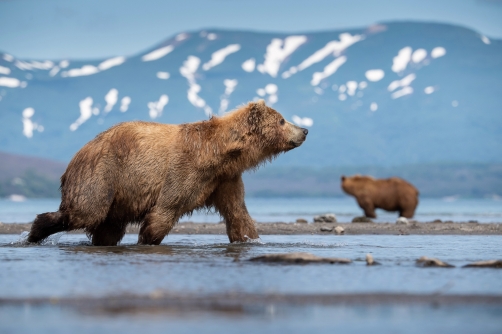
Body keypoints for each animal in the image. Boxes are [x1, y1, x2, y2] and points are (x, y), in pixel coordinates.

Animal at [30, 100, 310, 245]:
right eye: (282, 120)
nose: (305, 130)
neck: (222, 154)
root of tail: (81, 151)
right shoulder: (186, 170)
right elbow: (166, 208)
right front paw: (147, 240)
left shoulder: (224, 180)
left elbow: (238, 213)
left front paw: (251, 239)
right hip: (102, 174)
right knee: (86, 211)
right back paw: (35, 232)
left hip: (117, 195)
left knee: (107, 228)